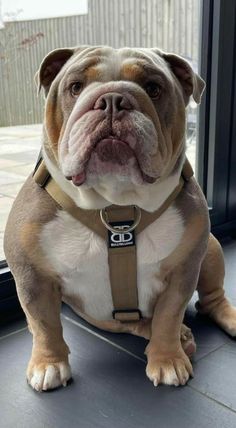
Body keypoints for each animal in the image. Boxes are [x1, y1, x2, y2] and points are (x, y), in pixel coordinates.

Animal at [3, 46, 236, 392]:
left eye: (154, 88)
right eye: (75, 87)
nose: (112, 99)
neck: (116, 205)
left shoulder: (182, 271)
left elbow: (169, 315)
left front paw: (167, 358)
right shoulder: (32, 276)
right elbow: (44, 323)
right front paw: (49, 363)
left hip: (210, 251)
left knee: (211, 301)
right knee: (131, 323)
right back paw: (176, 335)